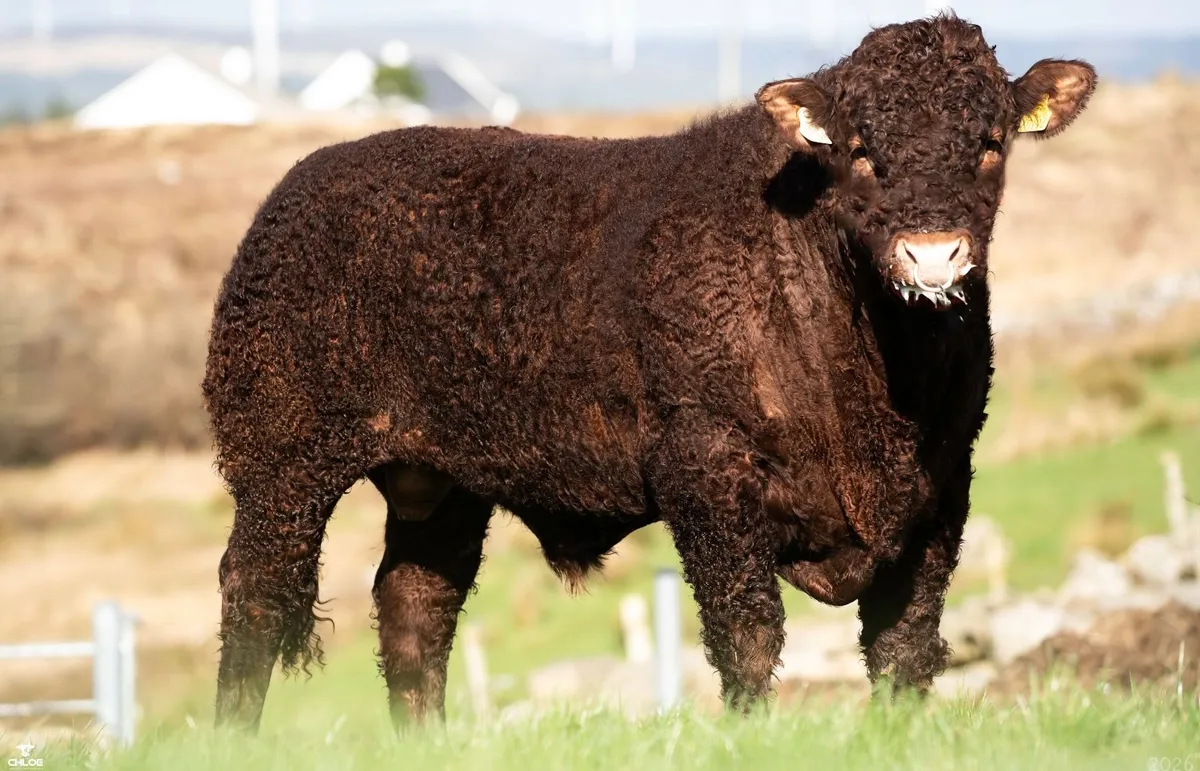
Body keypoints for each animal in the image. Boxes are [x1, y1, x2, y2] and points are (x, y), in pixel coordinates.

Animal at [202, 13, 1095, 730]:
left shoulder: (941, 485)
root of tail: (301, 184)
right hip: (281, 456)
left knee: (415, 602)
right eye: (860, 151)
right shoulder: (705, 464)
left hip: (440, 479)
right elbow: (747, 633)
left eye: (990, 144)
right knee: (256, 590)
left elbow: (905, 645)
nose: (932, 254)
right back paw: (235, 733)